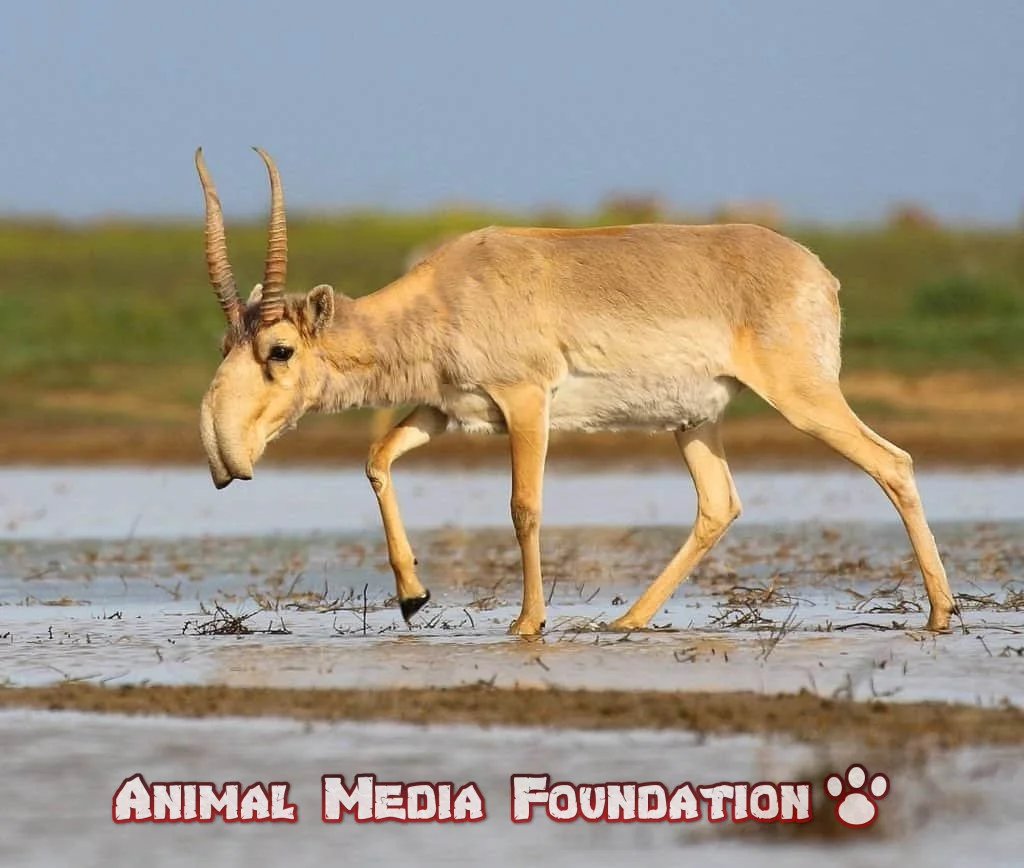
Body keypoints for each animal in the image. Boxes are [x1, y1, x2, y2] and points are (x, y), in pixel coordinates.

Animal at [195, 148, 957, 637]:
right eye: (225, 343)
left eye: (280, 350)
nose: (223, 455)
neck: (445, 293)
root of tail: (818, 272)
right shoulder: (446, 410)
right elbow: (376, 459)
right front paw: (413, 597)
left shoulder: (526, 402)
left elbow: (524, 507)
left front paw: (527, 622)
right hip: (694, 422)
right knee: (719, 505)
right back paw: (628, 620)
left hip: (804, 399)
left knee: (892, 463)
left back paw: (941, 613)